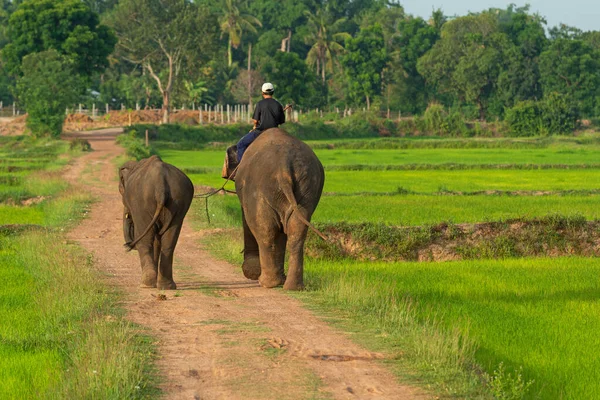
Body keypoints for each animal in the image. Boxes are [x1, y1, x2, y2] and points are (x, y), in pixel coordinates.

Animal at [120, 155, 196, 290]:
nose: (126, 246)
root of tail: (161, 186)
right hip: (178, 203)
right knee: (170, 241)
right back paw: (167, 286)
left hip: (142, 204)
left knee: (145, 240)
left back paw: (146, 284)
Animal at [236, 130, 328, 290]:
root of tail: (284, 168)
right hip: (306, 189)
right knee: (296, 230)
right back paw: (292, 287)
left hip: (260, 190)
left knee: (265, 230)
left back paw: (267, 283)